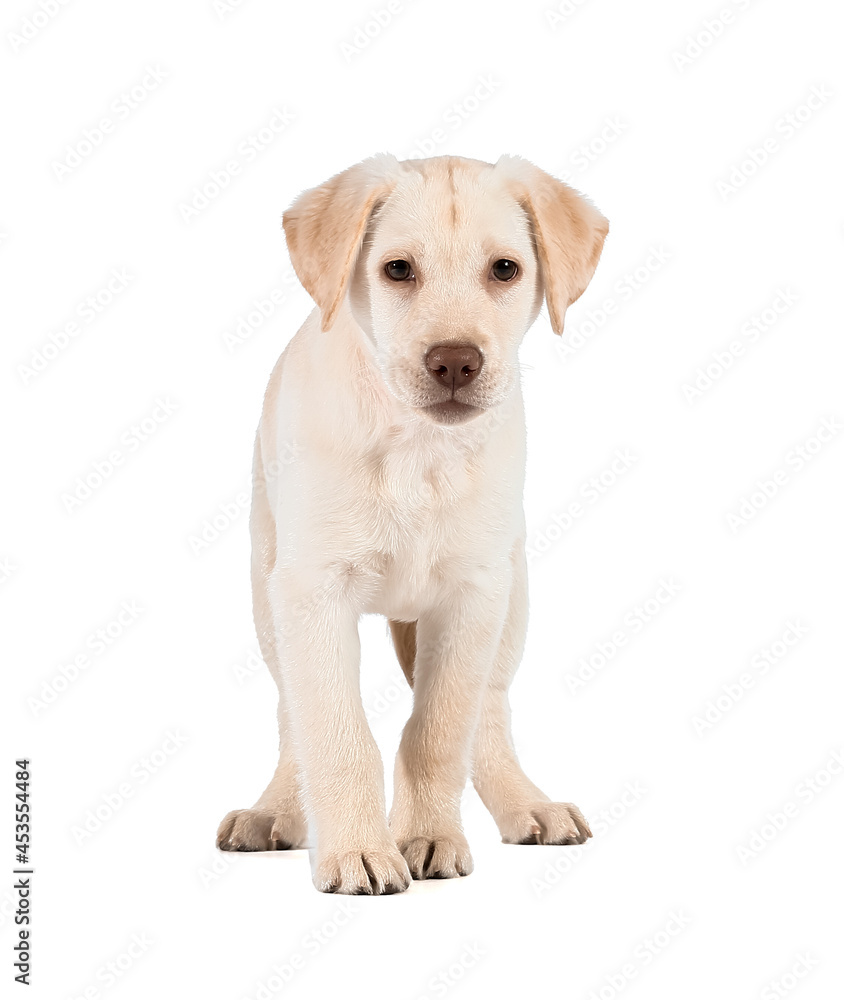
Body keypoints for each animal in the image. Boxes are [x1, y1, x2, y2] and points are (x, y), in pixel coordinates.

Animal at [216, 152, 608, 896]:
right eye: (398, 269)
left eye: (505, 270)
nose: (455, 361)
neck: (417, 448)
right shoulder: (312, 592)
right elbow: (335, 732)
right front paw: (358, 851)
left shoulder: (471, 596)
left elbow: (439, 731)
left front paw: (428, 835)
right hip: (264, 589)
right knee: (290, 712)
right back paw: (275, 811)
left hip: (512, 597)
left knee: (489, 712)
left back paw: (528, 804)